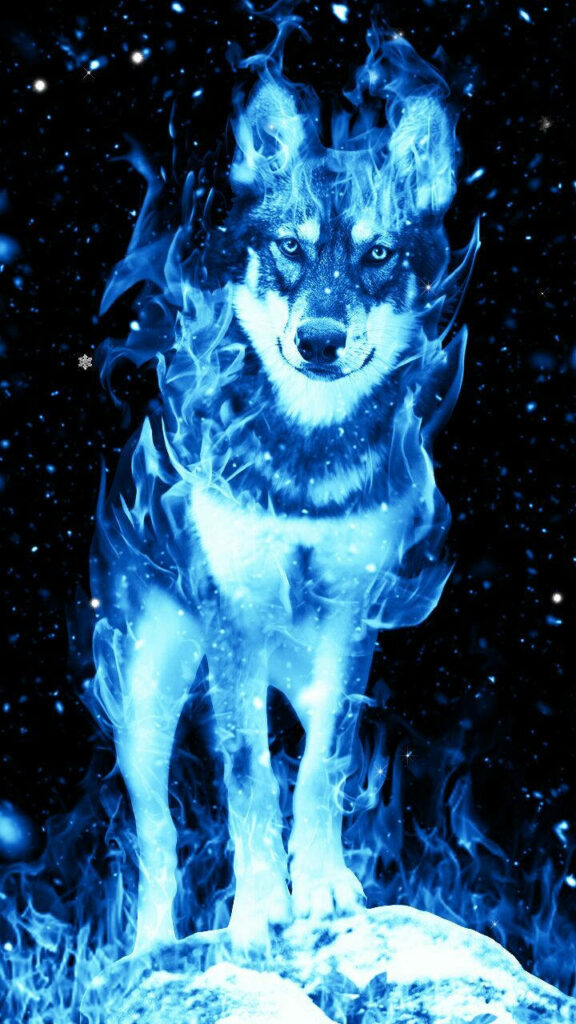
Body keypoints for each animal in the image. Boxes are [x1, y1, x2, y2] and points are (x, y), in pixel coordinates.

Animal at [91, 34, 475, 953]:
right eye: (292, 250)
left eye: (377, 255)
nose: (320, 341)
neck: (306, 457)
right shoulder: (236, 615)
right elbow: (248, 778)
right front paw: (261, 909)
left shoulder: (353, 618)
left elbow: (322, 769)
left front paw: (325, 888)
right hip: (146, 698)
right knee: (157, 836)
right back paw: (151, 950)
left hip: (295, 669)